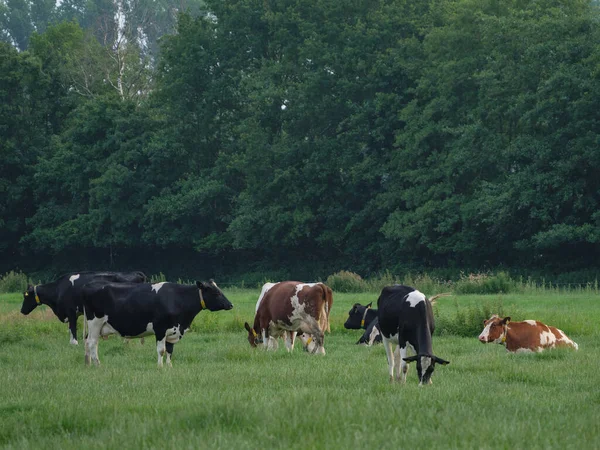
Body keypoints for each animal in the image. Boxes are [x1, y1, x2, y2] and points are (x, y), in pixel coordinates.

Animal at [79, 278, 230, 366]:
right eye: (216, 293)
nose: (231, 305)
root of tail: (88, 285)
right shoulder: (160, 328)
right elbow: (161, 350)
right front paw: (160, 367)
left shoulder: (173, 330)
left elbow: (170, 350)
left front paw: (169, 366)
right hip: (95, 323)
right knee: (92, 343)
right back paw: (98, 364)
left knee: (87, 341)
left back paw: (88, 363)